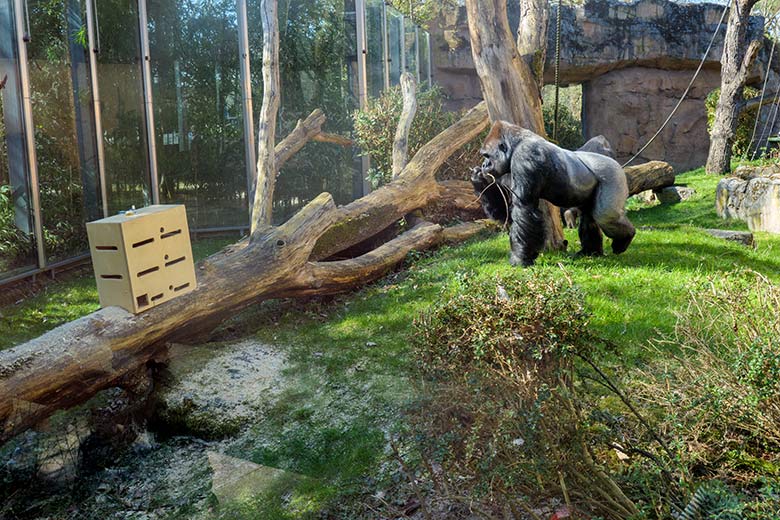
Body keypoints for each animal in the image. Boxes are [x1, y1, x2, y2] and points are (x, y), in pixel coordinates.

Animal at [470, 121, 632, 266]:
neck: (516, 143)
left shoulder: (525, 155)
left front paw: (520, 258)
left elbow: (523, 208)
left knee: (605, 215)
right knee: (590, 215)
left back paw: (624, 239)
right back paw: (590, 251)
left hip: (613, 174)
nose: (484, 165)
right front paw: (479, 180)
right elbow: (507, 211)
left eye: (487, 155)